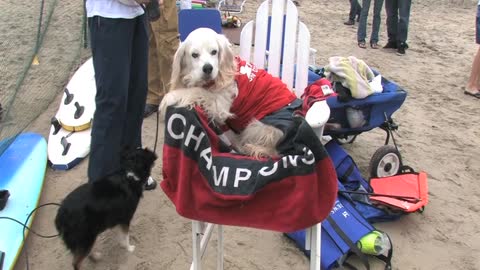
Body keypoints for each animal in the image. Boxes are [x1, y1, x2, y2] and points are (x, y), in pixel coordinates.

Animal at [159, 26, 302, 158]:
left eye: (214, 52)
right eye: (194, 55)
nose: (208, 68)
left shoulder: (220, 105)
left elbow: (197, 90)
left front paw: (168, 98)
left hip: (258, 125)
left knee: (274, 151)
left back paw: (251, 148)